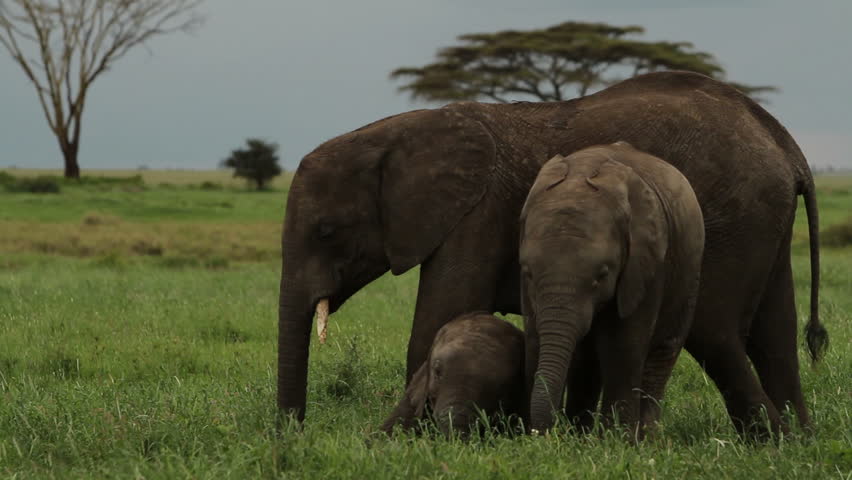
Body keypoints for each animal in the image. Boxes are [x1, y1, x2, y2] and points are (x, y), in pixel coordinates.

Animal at [520, 144, 705, 437]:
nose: (546, 433)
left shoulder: (646, 265)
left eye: (602, 274)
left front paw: (616, 440)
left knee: (662, 353)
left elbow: (623, 344)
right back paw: (582, 433)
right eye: (527, 272)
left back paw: (645, 437)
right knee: (588, 362)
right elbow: (535, 338)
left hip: (689, 272)